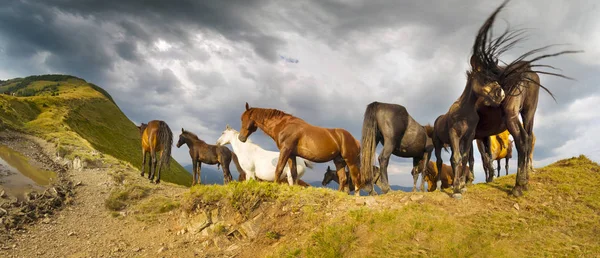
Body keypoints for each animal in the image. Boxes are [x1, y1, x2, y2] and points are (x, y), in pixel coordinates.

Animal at [462, 0, 580, 197]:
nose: (499, 94)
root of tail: (527, 71)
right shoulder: (483, 136)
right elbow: (487, 159)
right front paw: (487, 178)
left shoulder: (473, 136)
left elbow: (473, 157)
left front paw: (468, 180)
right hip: (529, 112)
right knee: (529, 138)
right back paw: (525, 181)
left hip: (512, 116)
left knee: (522, 140)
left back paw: (519, 186)